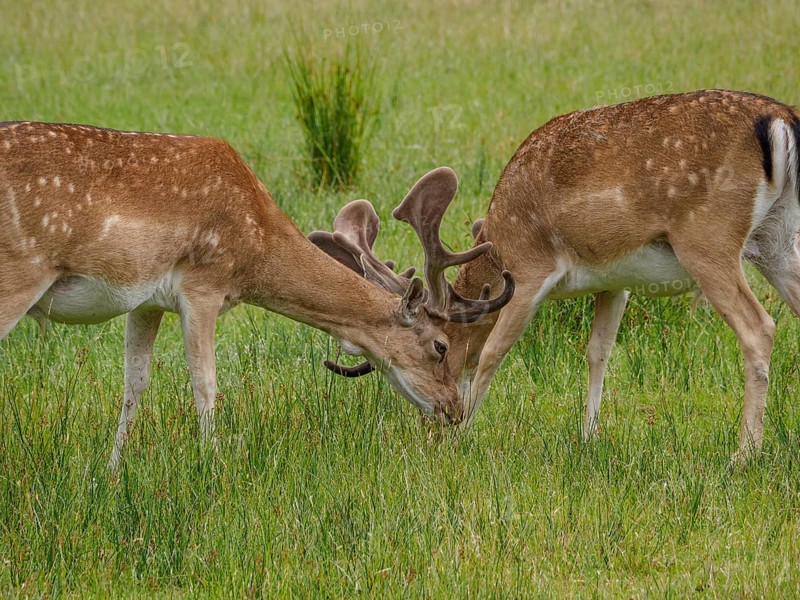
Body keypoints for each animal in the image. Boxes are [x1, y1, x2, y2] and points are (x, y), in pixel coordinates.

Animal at [0, 121, 514, 471]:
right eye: (440, 346)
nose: (453, 411)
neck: (255, 251)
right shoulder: (203, 284)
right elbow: (205, 384)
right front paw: (213, 466)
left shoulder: (145, 300)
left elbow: (135, 385)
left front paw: (111, 472)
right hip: (18, 273)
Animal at [319, 90, 800, 462]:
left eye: (441, 348)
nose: (435, 424)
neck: (500, 236)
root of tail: (781, 121)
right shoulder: (615, 280)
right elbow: (598, 351)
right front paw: (588, 437)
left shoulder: (529, 272)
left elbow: (493, 352)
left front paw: (463, 436)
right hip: (776, 242)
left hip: (709, 239)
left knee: (760, 326)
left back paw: (744, 452)